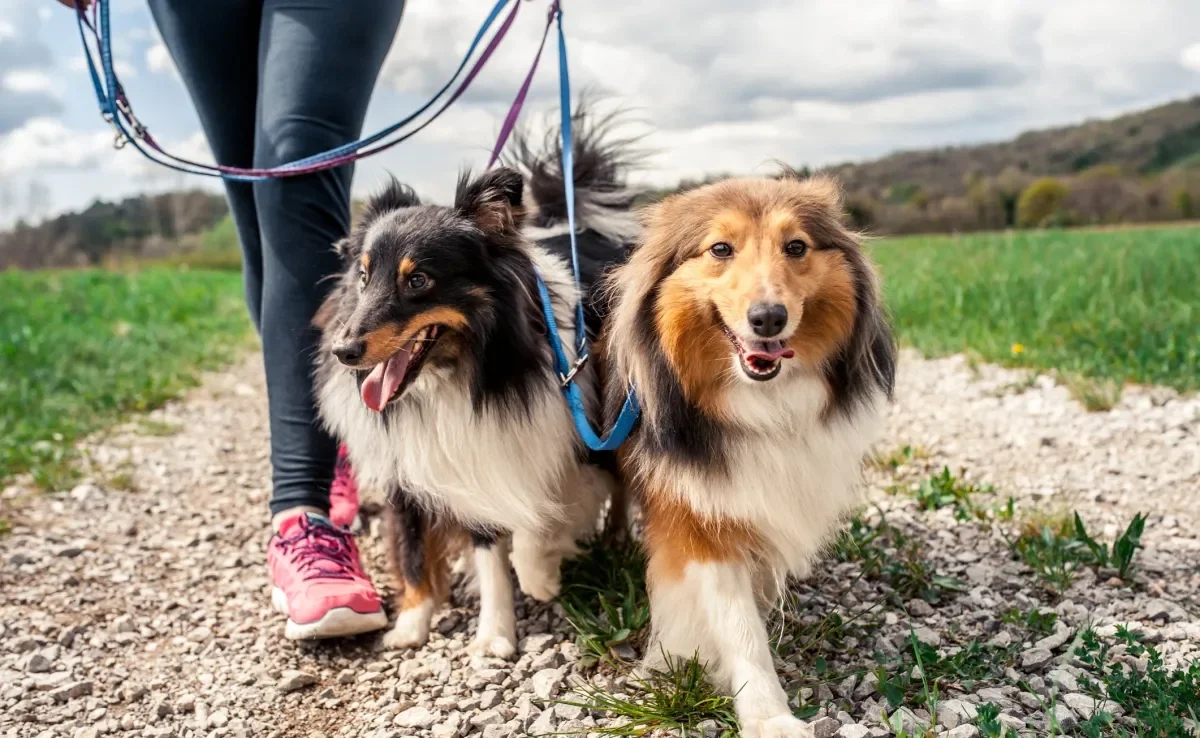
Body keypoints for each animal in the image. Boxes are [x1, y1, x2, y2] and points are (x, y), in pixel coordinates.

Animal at [604, 171, 897, 734]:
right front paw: (768, 715)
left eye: (796, 246)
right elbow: (738, 627)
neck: (759, 403)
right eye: (720, 248)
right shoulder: (698, 517)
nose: (768, 318)